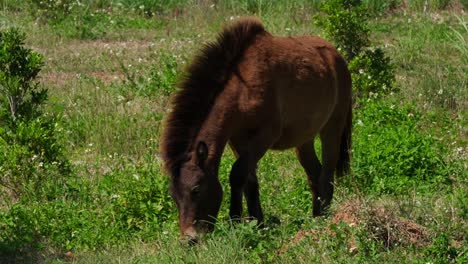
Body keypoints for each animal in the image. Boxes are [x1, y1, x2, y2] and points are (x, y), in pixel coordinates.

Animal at [161, 17, 352, 242]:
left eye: (196, 190)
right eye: (174, 196)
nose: (189, 239)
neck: (243, 88)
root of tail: (337, 56)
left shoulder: (264, 137)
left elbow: (237, 175)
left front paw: (235, 221)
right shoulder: (237, 140)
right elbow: (250, 181)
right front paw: (257, 224)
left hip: (332, 127)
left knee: (327, 173)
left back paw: (325, 218)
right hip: (304, 139)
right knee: (314, 173)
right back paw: (316, 216)